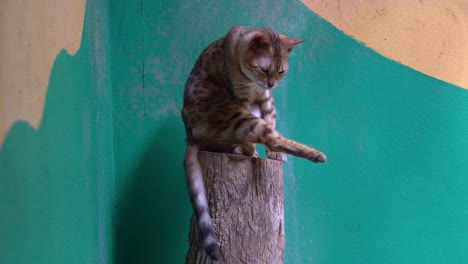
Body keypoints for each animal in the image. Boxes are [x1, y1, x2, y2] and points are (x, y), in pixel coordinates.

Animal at [182, 25, 326, 260]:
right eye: (263, 69)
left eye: (281, 72)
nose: (271, 83)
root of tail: (189, 136)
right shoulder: (242, 97)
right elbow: (264, 133)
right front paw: (252, 149)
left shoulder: (266, 99)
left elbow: (271, 122)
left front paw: (272, 155)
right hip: (230, 112)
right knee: (262, 136)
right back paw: (314, 155)